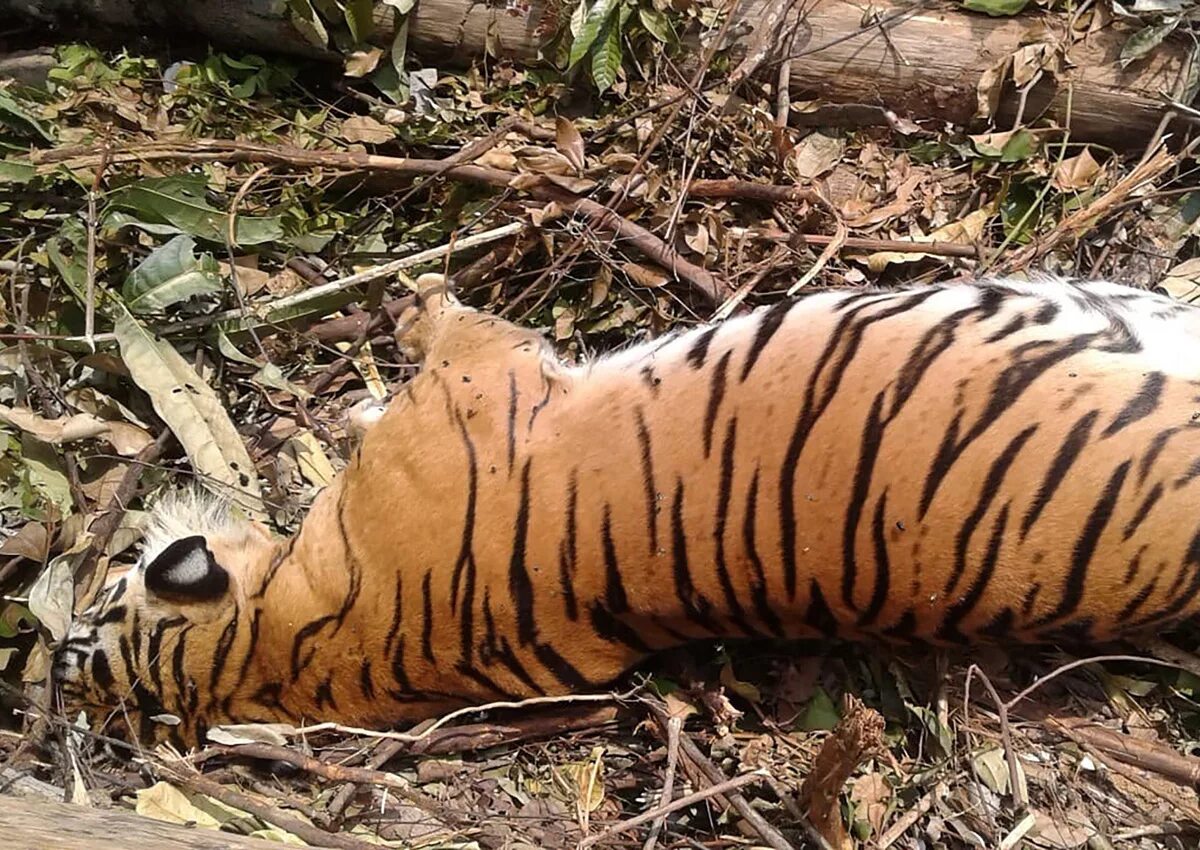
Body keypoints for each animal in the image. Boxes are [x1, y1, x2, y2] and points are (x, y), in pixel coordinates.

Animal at [52, 273, 1200, 746]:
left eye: (100, 604)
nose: (54, 649)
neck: (284, 644)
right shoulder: (481, 378)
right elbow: (451, 328)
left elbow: (435, 330)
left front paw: (399, 319)